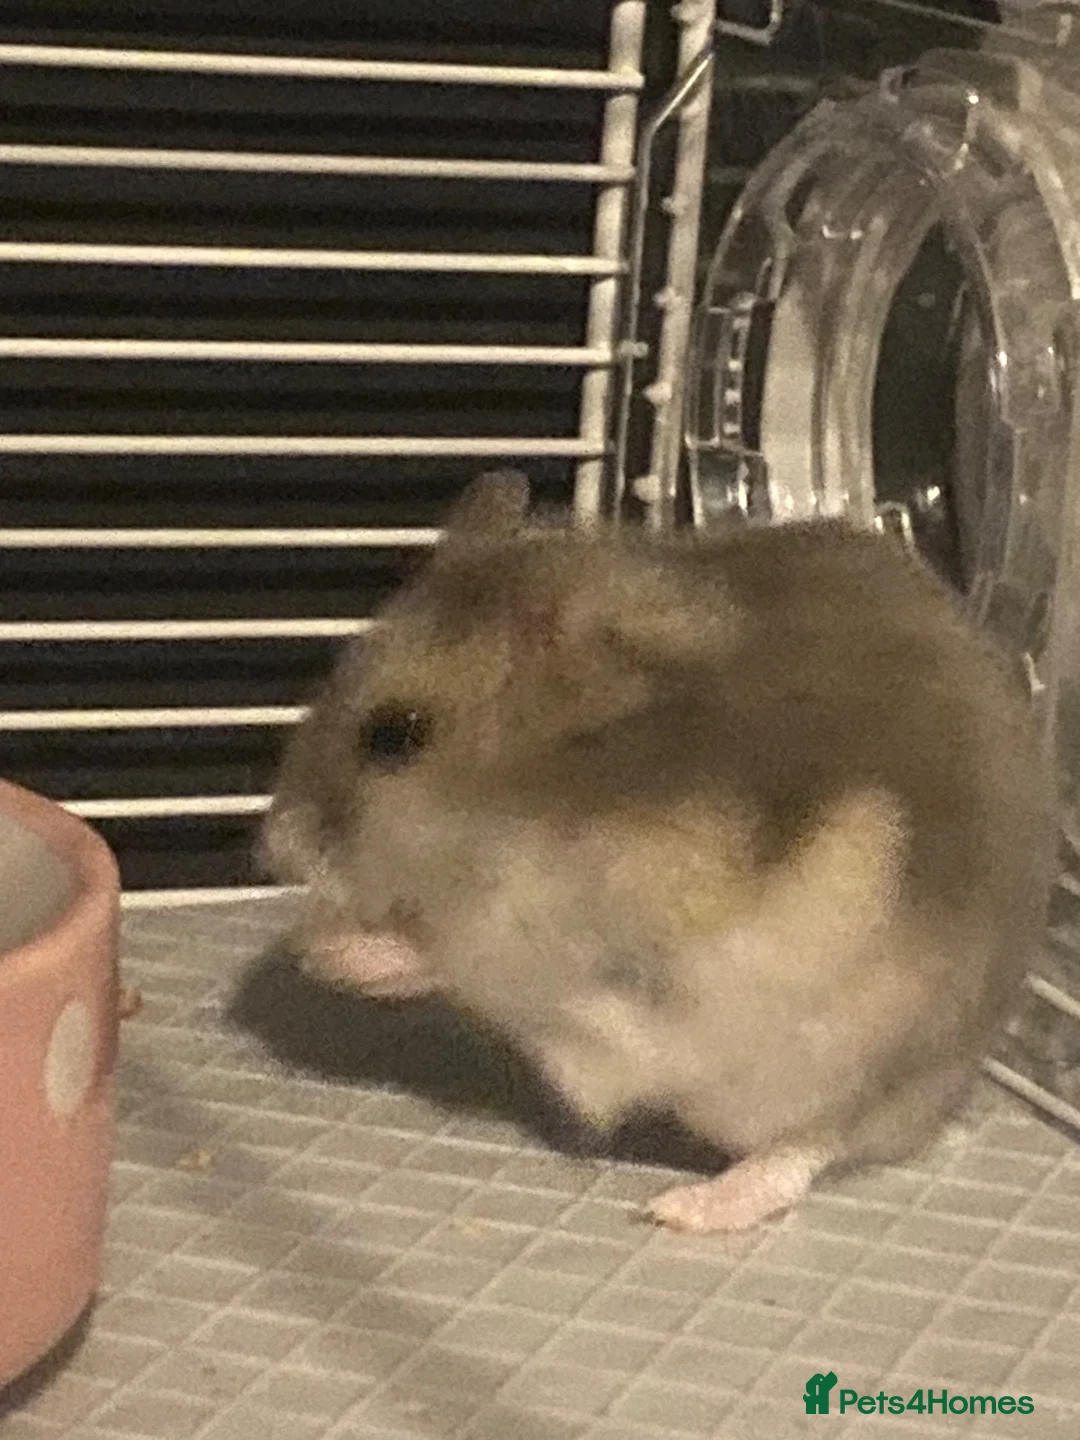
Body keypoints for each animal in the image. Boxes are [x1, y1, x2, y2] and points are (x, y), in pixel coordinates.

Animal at [260, 469, 1055, 1233]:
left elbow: (449, 959)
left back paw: (680, 1209)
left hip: (845, 1061)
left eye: (396, 735)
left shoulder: (558, 934)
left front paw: (321, 951)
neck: (537, 798)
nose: (273, 850)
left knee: (807, 1147)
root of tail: (952, 1090)